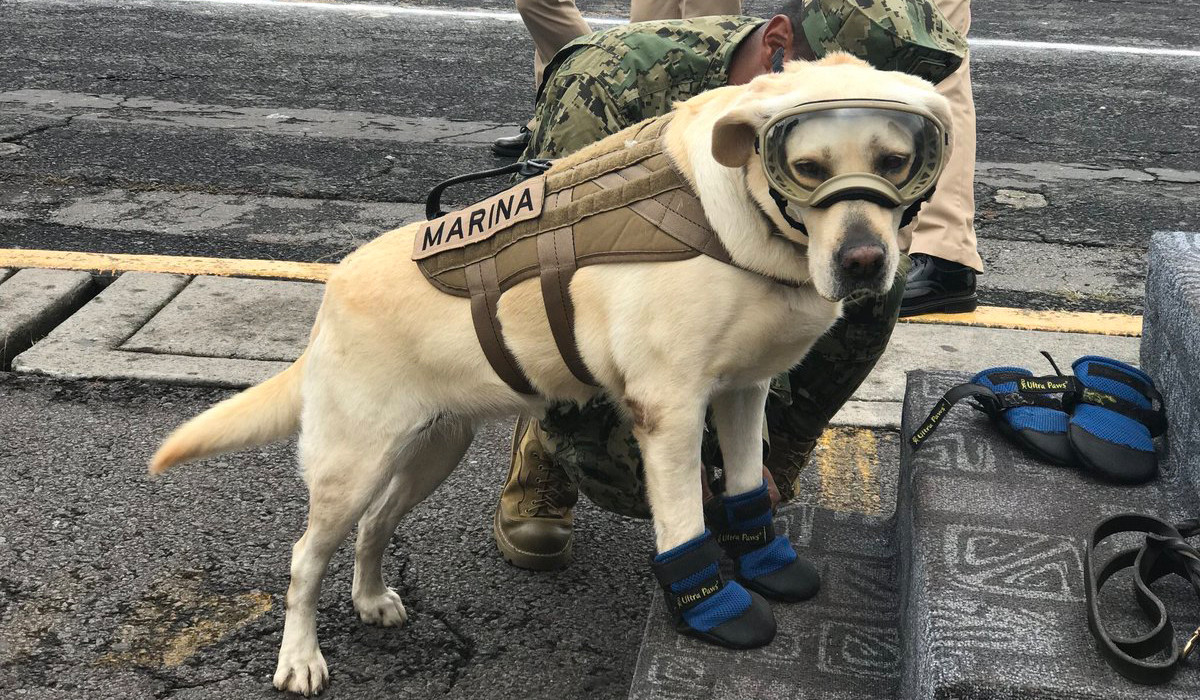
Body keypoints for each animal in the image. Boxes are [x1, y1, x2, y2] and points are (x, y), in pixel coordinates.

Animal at [150, 54, 950, 696]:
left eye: (895, 162)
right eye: (808, 169)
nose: (864, 263)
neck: (741, 221)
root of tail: (331, 295)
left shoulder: (742, 393)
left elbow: (748, 486)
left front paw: (769, 564)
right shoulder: (669, 410)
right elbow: (686, 521)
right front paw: (714, 610)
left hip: (433, 449)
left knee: (376, 526)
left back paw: (373, 600)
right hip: (351, 463)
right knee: (303, 558)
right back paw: (300, 658)